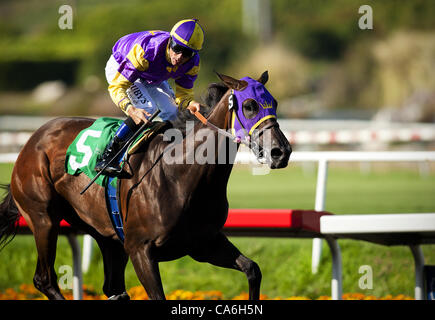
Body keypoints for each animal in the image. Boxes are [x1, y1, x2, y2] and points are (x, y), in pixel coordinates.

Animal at [1, 72, 292, 300]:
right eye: (250, 106)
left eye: (274, 102)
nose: (281, 151)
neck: (182, 175)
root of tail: (34, 138)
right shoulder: (141, 249)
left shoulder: (203, 244)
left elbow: (253, 270)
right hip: (43, 219)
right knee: (45, 279)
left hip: (107, 236)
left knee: (113, 289)